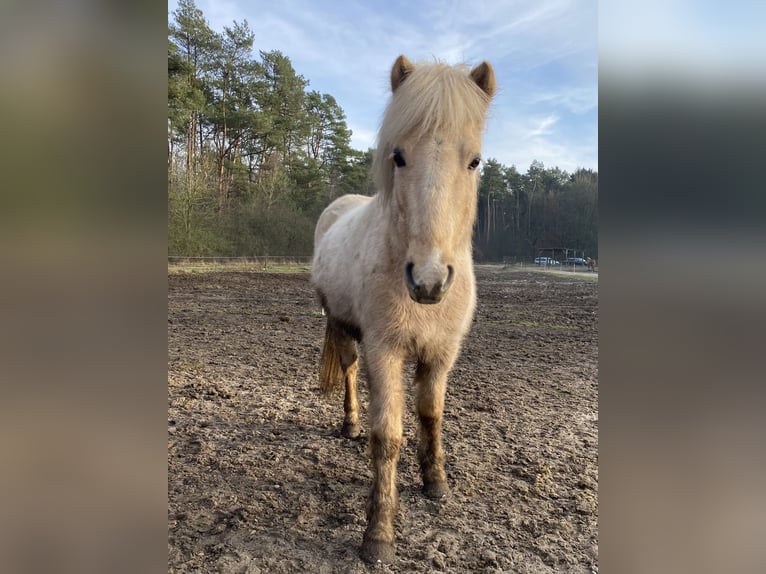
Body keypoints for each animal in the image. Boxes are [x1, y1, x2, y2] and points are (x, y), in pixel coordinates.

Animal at [312, 55, 498, 568]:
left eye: (474, 161)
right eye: (398, 156)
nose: (429, 280)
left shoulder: (441, 353)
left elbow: (431, 414)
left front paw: (436, 482)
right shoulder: (385, 350)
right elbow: (389, 435)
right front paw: (379, 534)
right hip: (341, 326)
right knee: (350, 372)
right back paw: (350, 424)